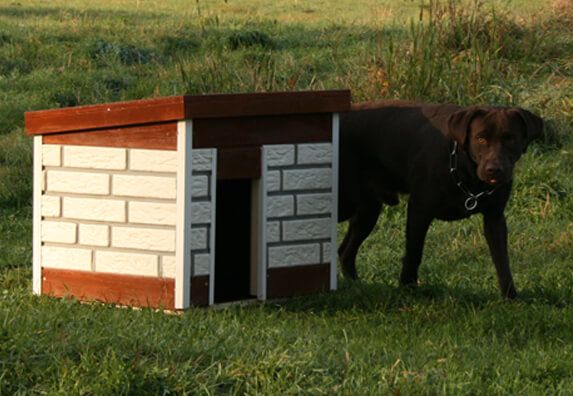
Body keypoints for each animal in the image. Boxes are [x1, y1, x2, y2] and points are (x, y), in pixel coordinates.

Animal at [338, 100, 544, 298]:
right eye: (480, 138)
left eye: (511, 138)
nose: (494, 170)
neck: (463, 169)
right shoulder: (419, 211)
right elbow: (414, 252)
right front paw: (407, 287)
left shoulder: (495, 218)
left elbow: (502, 261)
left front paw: (510, 296)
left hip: (368, 210)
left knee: (345, 252)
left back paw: (356, 286)